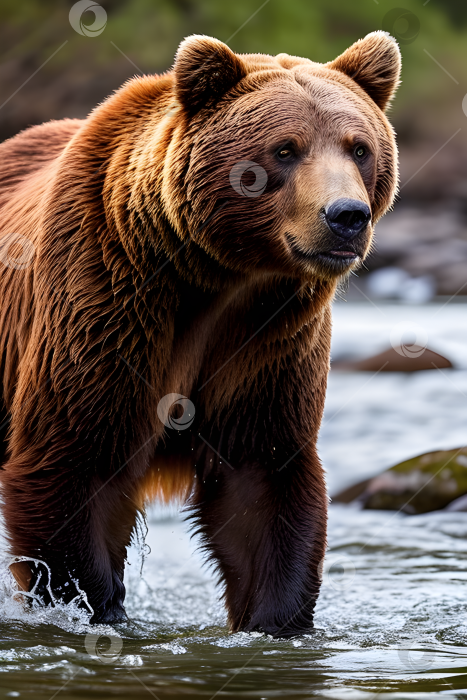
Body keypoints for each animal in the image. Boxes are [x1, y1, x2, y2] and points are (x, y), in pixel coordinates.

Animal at [0, 31, 402, 636]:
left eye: (359, 148)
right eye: (285, 149)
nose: (346, 215)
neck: (220, 280)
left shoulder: (269, 343)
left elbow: (263, 482)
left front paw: (275, 620)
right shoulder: (106, 306)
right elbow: (71, 461)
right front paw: (98, 608)